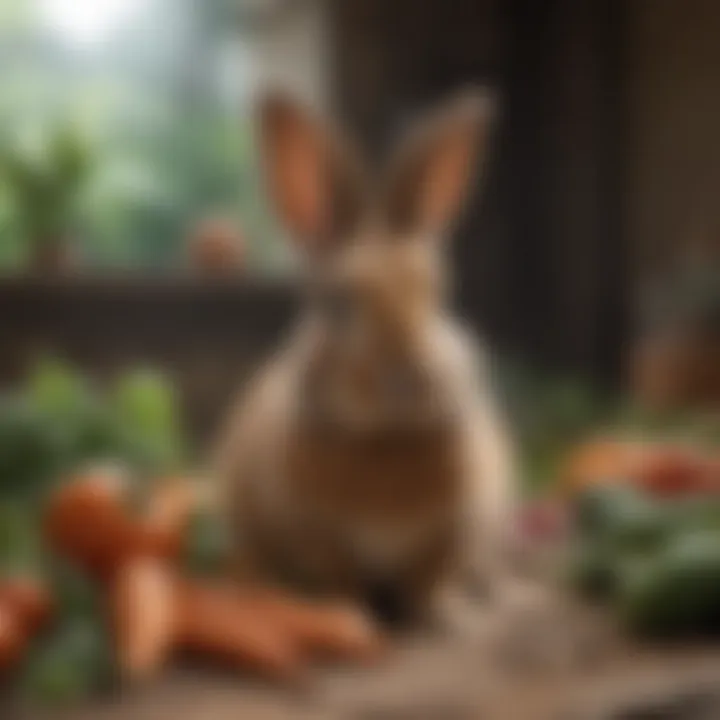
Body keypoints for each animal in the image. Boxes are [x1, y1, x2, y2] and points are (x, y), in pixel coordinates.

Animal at [214, 90, 516, 628]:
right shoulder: (316, 536)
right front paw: (353, 615)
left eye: (437, 293)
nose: (410, 378)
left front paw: (441, 616)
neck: (384, 442)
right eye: (338, 304)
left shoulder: (452, 530)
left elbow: (428, 577)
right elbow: (341, 578)